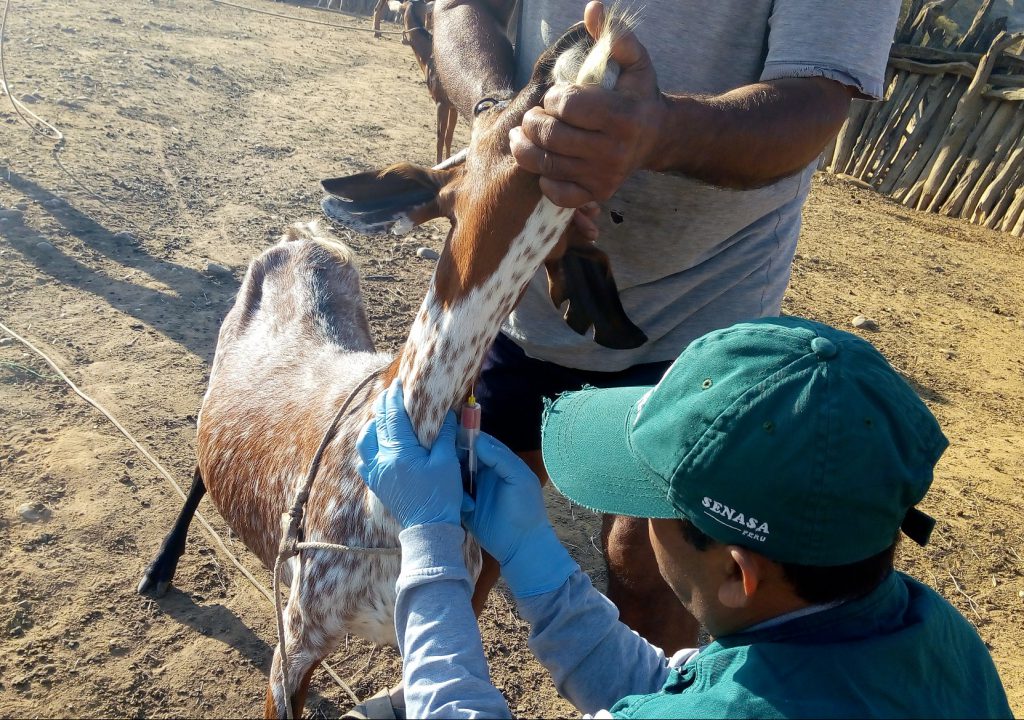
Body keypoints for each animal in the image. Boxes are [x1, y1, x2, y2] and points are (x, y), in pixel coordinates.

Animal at [140, 8, 643, 716]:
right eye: (500, 110)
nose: (579, 30)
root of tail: (304, 240)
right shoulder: (296, 638)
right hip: (219, 369)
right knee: (195, 471)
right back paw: (160, 567)